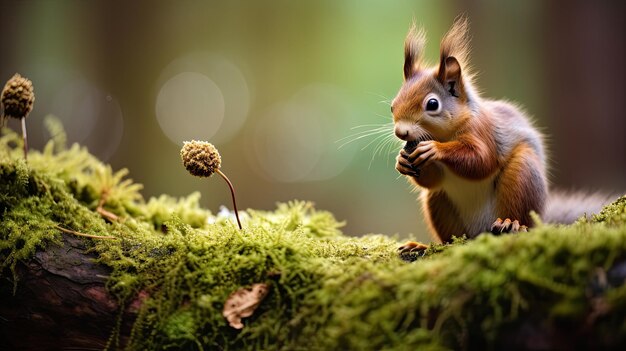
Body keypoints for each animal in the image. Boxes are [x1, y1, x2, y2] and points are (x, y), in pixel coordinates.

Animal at [394, 17, 608, 253]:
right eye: (393, 105)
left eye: (432, 104)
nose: (400, 132)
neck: (444, 135)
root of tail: (479, 232)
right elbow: (432, 180)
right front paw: (402, 161)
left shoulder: (483, 131)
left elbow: (481, 161)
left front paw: (435, 149)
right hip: (439, 202)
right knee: (449, 231)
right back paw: (423, 246)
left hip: (522, 176)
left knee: (519, 213)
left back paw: (510, 223)